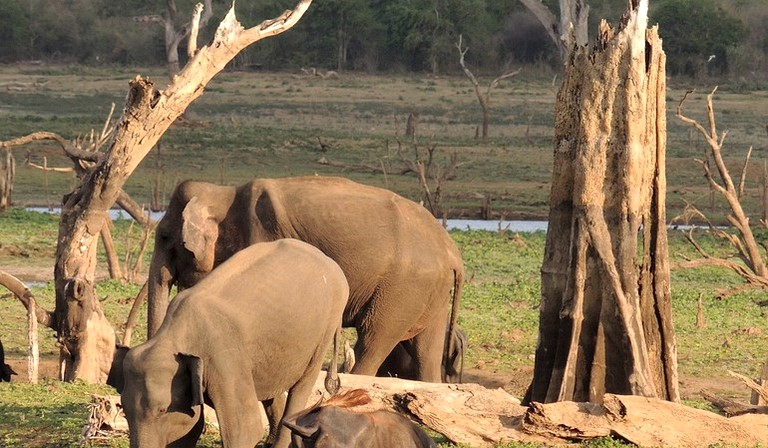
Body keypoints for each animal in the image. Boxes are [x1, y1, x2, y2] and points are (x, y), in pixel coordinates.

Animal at [120, 240, 348, 448]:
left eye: (161, 410)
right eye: (123, 410)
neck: (173, 334)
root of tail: (332, 263)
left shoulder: (223, 354)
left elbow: (246, 430)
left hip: (325, 328)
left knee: (302, 386)